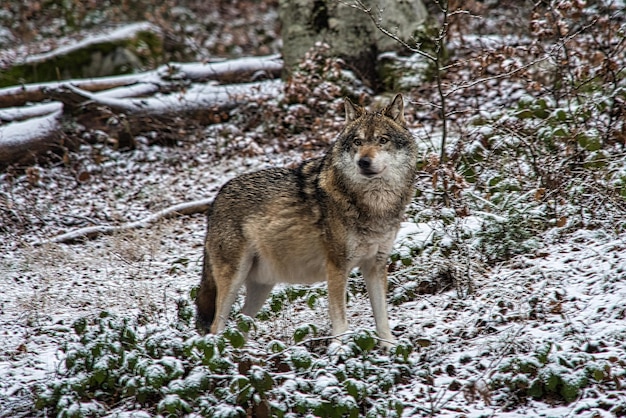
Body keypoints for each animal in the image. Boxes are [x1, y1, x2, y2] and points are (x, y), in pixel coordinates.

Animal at [195, 93, 416, 348]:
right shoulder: (336, 266)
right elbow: (340, 321)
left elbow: (382, 318)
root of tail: (216, 198)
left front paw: (389, 347)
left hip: (262, 286)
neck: (373, 204)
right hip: (234, 278)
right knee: (216, 327)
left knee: (241, 324)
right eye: (357, 142)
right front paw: (340, 350)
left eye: (382, 140)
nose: (363, 162)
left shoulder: (376, 266)